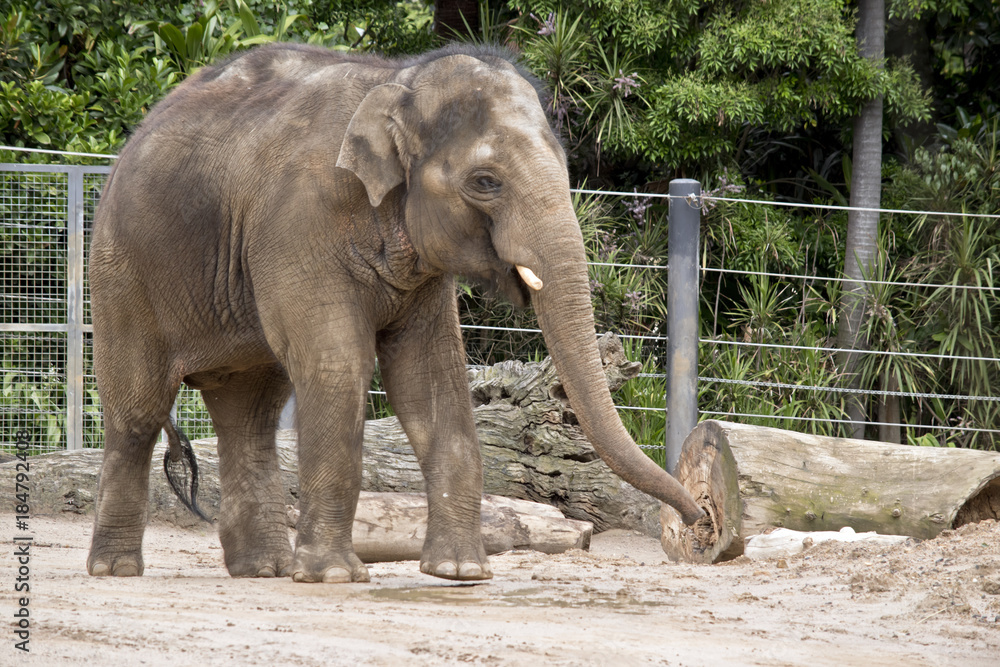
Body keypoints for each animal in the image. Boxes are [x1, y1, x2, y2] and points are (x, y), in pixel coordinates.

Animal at [87, 42, 705, 584]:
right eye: (485, 182)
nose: (697, 520)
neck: (398, 83)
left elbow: (430, 377)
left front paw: (461, 573)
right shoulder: (296, 225)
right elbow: (337, 367)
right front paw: (335, 577)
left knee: (250, 414)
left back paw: (265, 570)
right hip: (122, 272)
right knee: (138, 410)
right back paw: (117, 570)